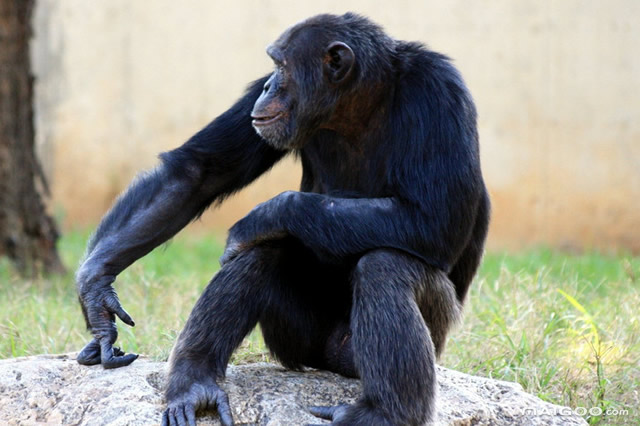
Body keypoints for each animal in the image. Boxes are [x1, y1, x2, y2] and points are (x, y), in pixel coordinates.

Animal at [77, 11, 492, 424]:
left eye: (282, 66)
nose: (268, 85)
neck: (358, 104)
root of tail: (329, 360)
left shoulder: (439, 90)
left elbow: (434, 220)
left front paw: (263, 214)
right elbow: (197, 172)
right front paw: (97, 294)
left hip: (410, 341)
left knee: (385, 266)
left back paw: (383, 413)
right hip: (298, 342)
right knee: (264, 252)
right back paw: (195, 383)